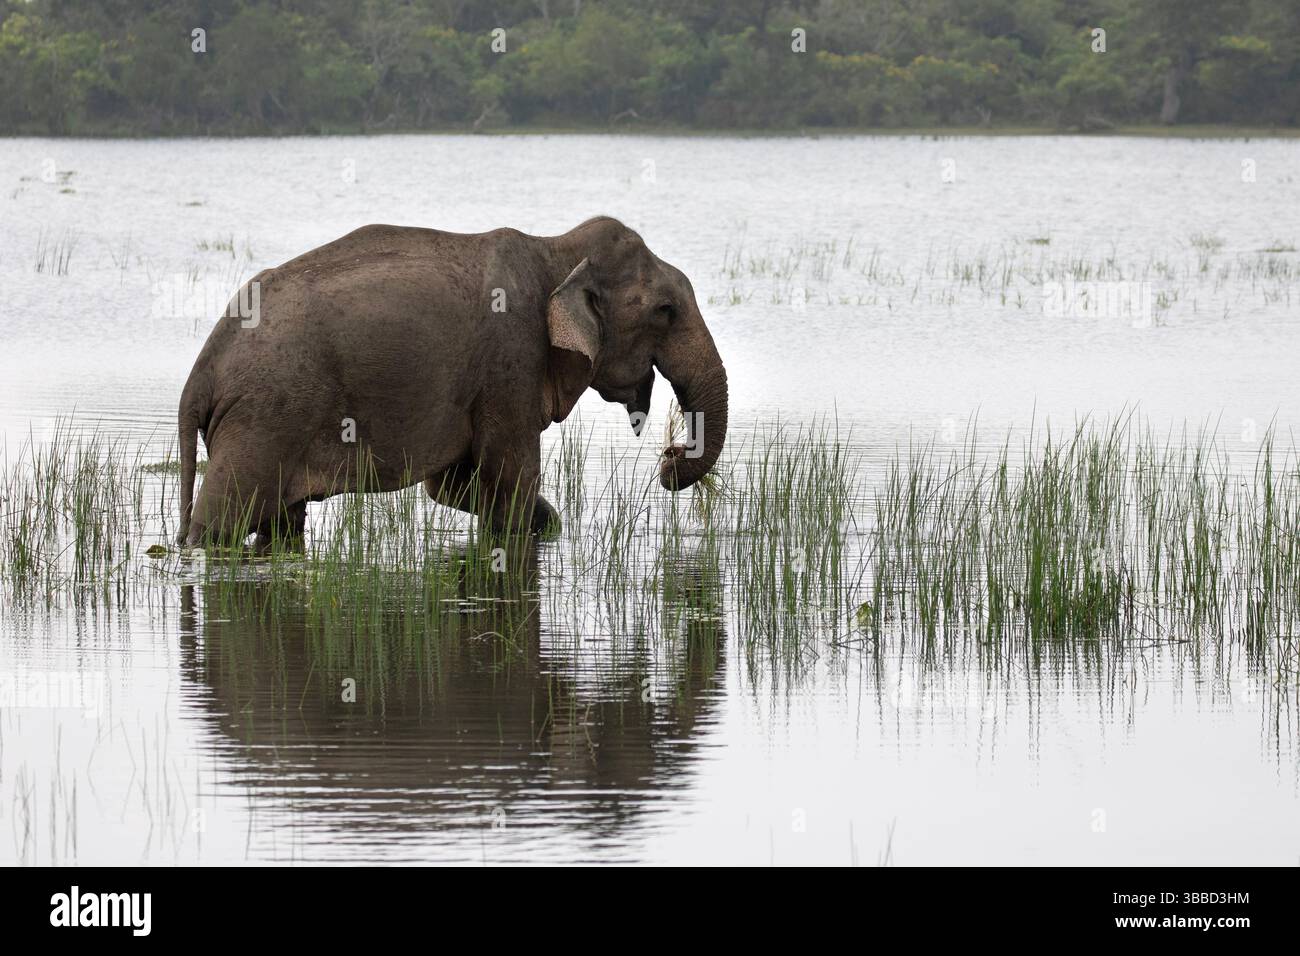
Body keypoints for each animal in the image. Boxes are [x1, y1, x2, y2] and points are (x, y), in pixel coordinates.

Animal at [175, 216, 728, 546]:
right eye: (665, 310)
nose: (668, 458)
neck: (555, 250)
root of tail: (200, 374)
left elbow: (452, 484)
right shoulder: (511, 362)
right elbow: (511, 475)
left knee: (281, 526)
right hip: (264, 416)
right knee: (220, 518)